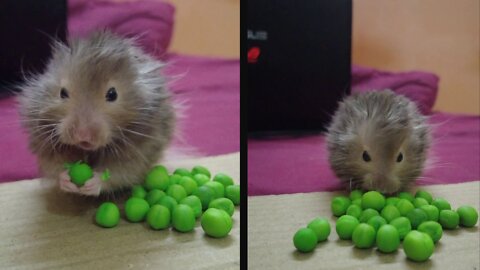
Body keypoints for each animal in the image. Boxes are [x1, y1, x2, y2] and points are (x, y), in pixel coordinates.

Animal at [19, 31, 176, 196]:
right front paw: (67, 180)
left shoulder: (139, 151)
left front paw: (92, 184)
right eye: (62, 93)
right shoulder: (46, 143)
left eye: (112, 94)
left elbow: (119, 172)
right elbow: (55, 167)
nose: (83, 137)